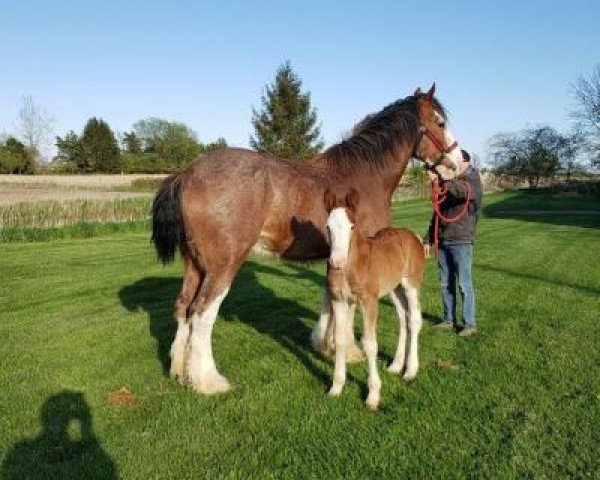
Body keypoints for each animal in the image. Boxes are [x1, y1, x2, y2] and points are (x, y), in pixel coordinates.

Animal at [324, 188, 426, 408]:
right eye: (328, 226)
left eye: (352, 226)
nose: (336, 262)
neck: (351, 267)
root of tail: (413, 235)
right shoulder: (339, 301)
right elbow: (340, 340)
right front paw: (336, 388)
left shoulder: (369, 301)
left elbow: (369, 344)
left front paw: (373, 395)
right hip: (394, 289)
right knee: (403, 319)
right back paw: (396, 365)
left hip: (411, 285)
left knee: (414, 319)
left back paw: (410, 370)